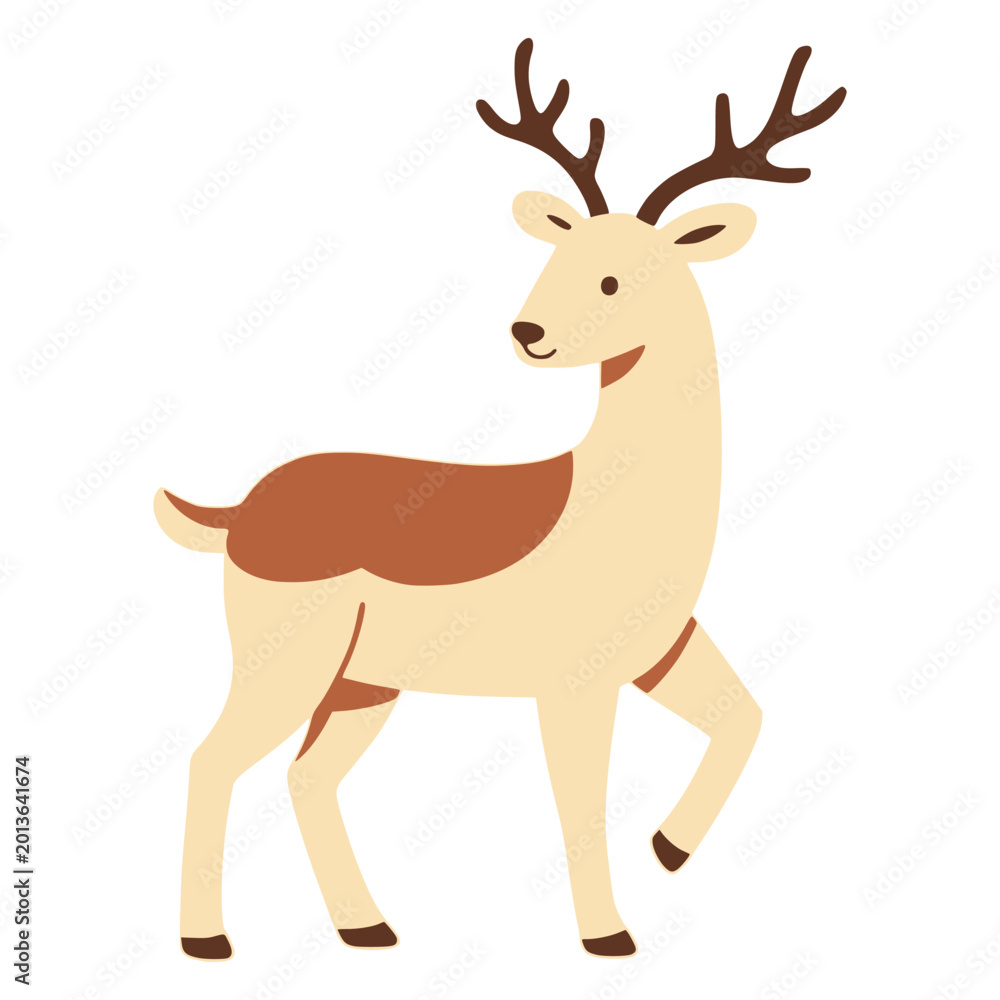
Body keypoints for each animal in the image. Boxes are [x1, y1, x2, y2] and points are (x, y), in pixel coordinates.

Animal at [154, 38, 845, 960]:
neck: (621, 497)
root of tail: (239, 513)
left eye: (615, 279)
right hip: (287, 659)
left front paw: (667, 849)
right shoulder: (574, 683)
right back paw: (208, 942)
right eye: (558, 254)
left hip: (363, 681)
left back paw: (368, 928)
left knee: (306, 774)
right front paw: (609, 936)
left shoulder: (664, 649)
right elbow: (579, 803)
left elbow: (747, 719)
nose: (527, 333)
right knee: (215, 758)